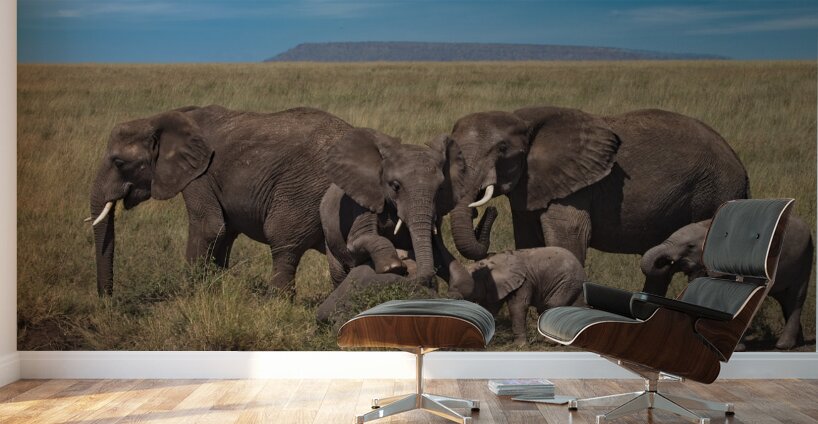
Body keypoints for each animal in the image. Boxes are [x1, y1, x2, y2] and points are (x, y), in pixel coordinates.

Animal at [88, 105, 353, 296]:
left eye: (119, 162)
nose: (107, 300)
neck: (161, 119)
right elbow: (224, 234)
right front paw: (214, 291)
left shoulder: (200, 177)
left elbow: (209, 228)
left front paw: (189, 296)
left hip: (302, 191)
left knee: (283, 243)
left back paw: (277, 304)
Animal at [317, 246, 586, 346]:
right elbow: (493, 308)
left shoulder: (524, 281)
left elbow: (517, 306)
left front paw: (520, 346)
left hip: (568, 281)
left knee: (552, 305)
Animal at [319, 128, 494, 293]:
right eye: (395, 186)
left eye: (440, 189)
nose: (492, 210)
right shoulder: (364, 200)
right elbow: (358, 241)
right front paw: (393, 266)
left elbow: (438, 250)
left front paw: (459, 284)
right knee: (339, 273)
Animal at [444, 106, 750, 266]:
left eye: (502, 150)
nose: (484, 212)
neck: (523, 117)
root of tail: (742, 168)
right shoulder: (529, 186)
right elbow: (528, 240)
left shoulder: (576, 186)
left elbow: (570, 235)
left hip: (714, 191)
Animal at [640, 215, 814, 350]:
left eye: (690, 246)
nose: (666, 262)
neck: (708, 224)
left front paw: (736, 348)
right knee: (785, 302)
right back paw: (799, 342)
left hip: (804, 260)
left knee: (795, 298)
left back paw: (784, 346)